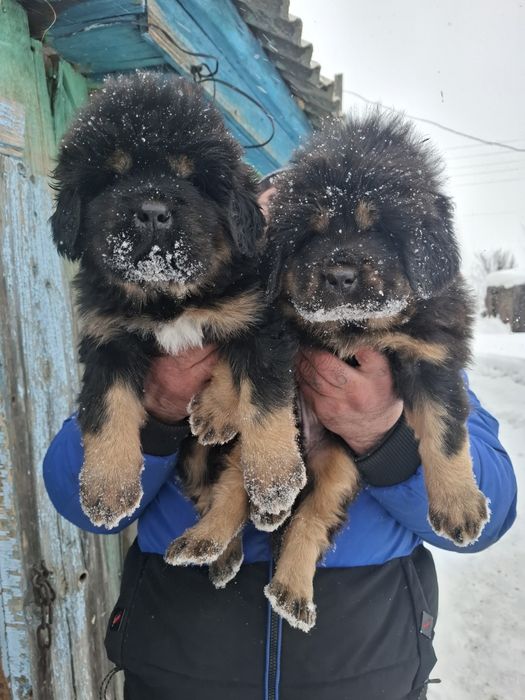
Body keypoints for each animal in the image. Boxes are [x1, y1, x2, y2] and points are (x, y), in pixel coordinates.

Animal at [50, 72, 305, 573]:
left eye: (192, 179)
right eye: (114, 176)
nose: (152, 213)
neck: (166, 300)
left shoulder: (256, 324)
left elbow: (265, 402)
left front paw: (275, 478)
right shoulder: (108, 338)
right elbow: (107, 407)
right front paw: (107, 490)